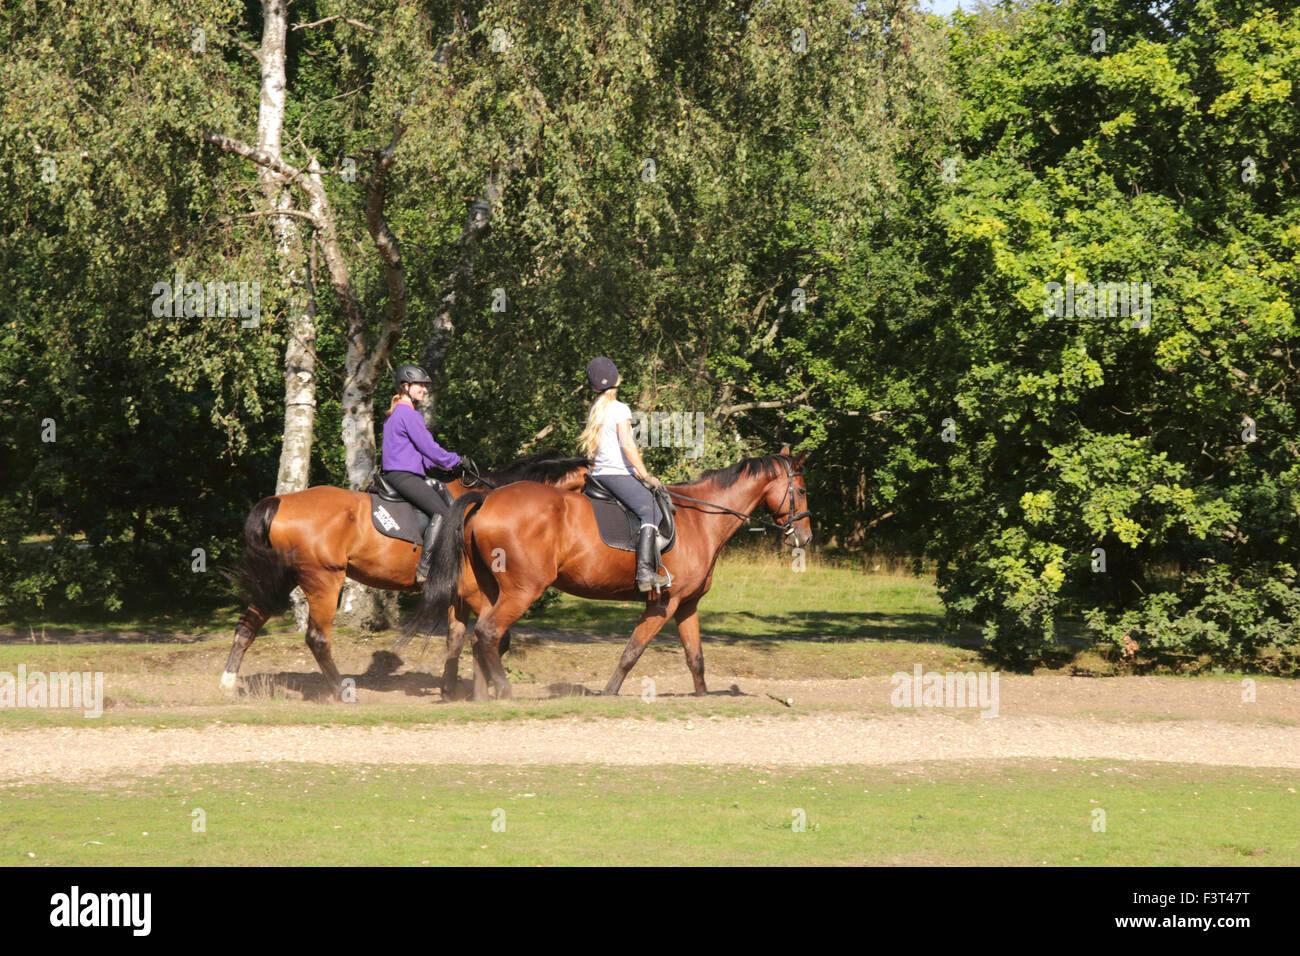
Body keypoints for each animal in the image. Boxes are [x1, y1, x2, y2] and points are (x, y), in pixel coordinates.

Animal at [223, 452, 590, 697]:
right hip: (324, 580)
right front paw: (485, 685)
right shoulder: (474, 591)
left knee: (248, 624)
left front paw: (449, 688)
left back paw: (228, 682)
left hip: (281, 579)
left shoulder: (459, 594)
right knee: (317, 638)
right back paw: (342, 691)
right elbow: (494, 636)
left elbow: (456, 637)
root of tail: (281, 501)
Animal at [405, 447, 811, 702]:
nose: (805, 536)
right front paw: (609, 693)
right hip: (523, 590)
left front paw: (702, 697)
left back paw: (481, 696)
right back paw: (503, 692)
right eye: (803, 489)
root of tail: (487, 499)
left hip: (493, 590)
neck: (700, 520)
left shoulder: (686, 605)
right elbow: (632, 651)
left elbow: (695, 655)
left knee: (479, 636)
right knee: (489, 633)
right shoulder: (664, 604)